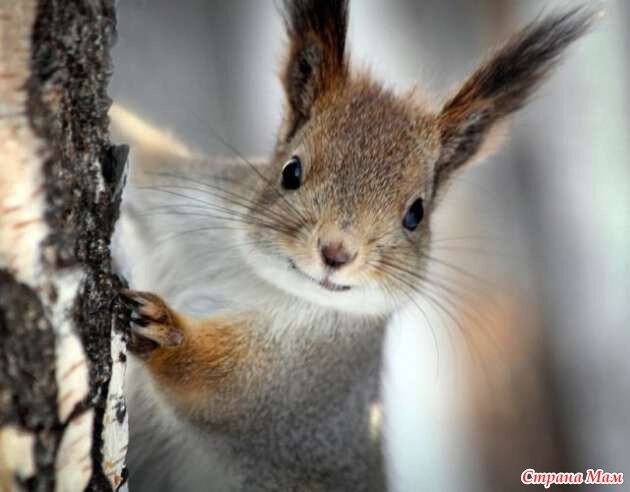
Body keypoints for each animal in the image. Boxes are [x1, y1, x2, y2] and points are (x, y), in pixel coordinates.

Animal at [111, 1, 600, 490]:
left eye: (416, 214)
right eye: (290, 171)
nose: (337, 253)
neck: (258, 277)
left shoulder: (303, 383)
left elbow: (222, 385)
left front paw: (165, 331)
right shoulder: (192, 196)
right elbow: (146, 159)